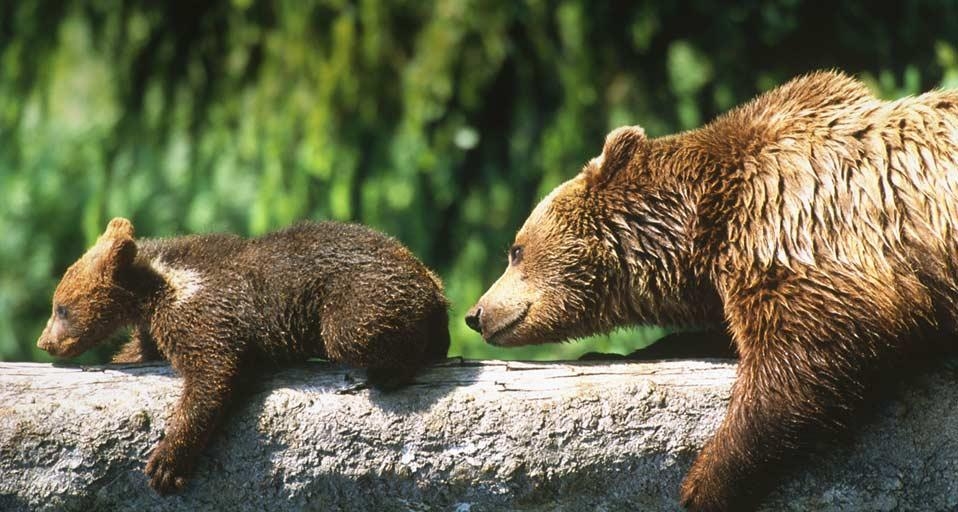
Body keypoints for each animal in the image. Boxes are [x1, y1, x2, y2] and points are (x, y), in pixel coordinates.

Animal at [37, 218, 450, 494]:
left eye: (61, 308)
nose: (45, 343)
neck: (156, 289)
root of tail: (428, 280)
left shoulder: (203, 311)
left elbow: (213, 373)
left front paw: (165, 463)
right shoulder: (156, 326)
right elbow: (140, 351)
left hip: (356, 293)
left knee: (353, 333)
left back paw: (390, 371)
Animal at [465, 70, 958, 510]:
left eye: (515, 250)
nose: (476, 313)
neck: (696, 227)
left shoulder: (798, 218)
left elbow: (809, 348)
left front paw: (704, 482)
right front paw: (622, 352)